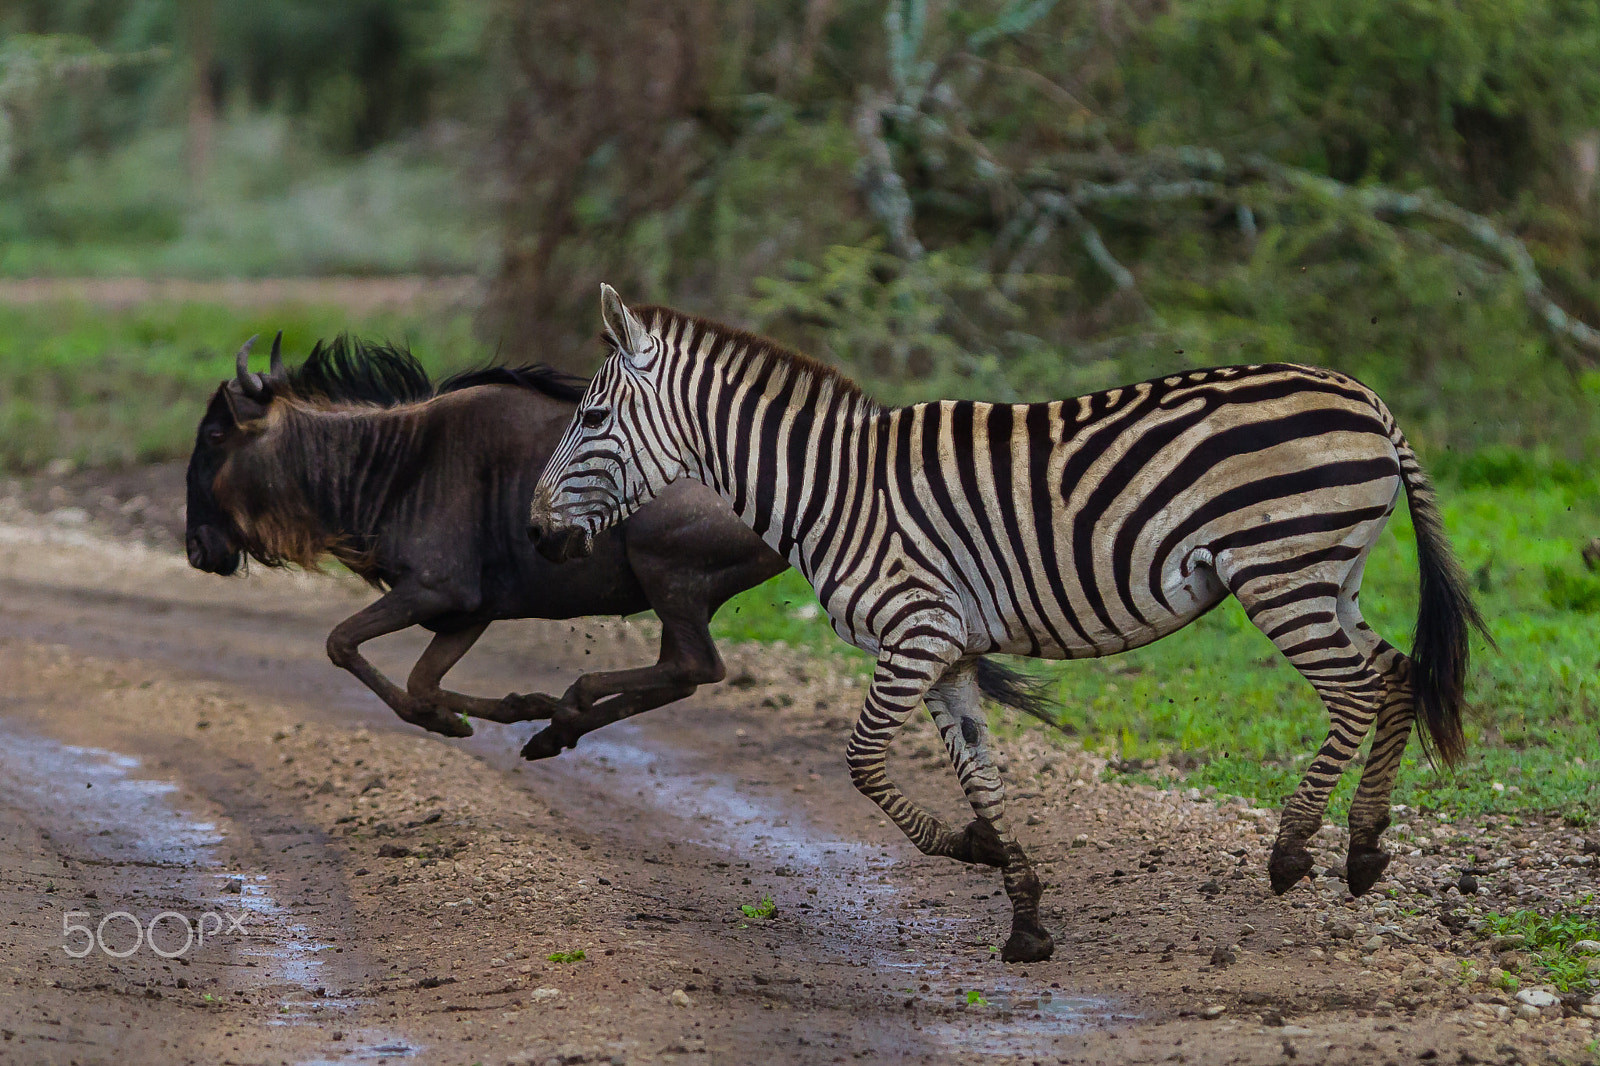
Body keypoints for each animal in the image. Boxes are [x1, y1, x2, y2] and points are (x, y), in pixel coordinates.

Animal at [524, 284, 1484, 960]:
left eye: (593, 417)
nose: (535, 532)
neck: (836, 490)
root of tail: (1362, 394)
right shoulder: (948, 651)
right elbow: (978, 771)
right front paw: (1021, 910)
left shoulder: (913, 634)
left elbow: (863, 763)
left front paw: (970, 849)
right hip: (1333, 574)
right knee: (1395, 675)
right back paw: (1365, 850)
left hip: (1281, 568)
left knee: (1354, 692)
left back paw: (1292, 852)